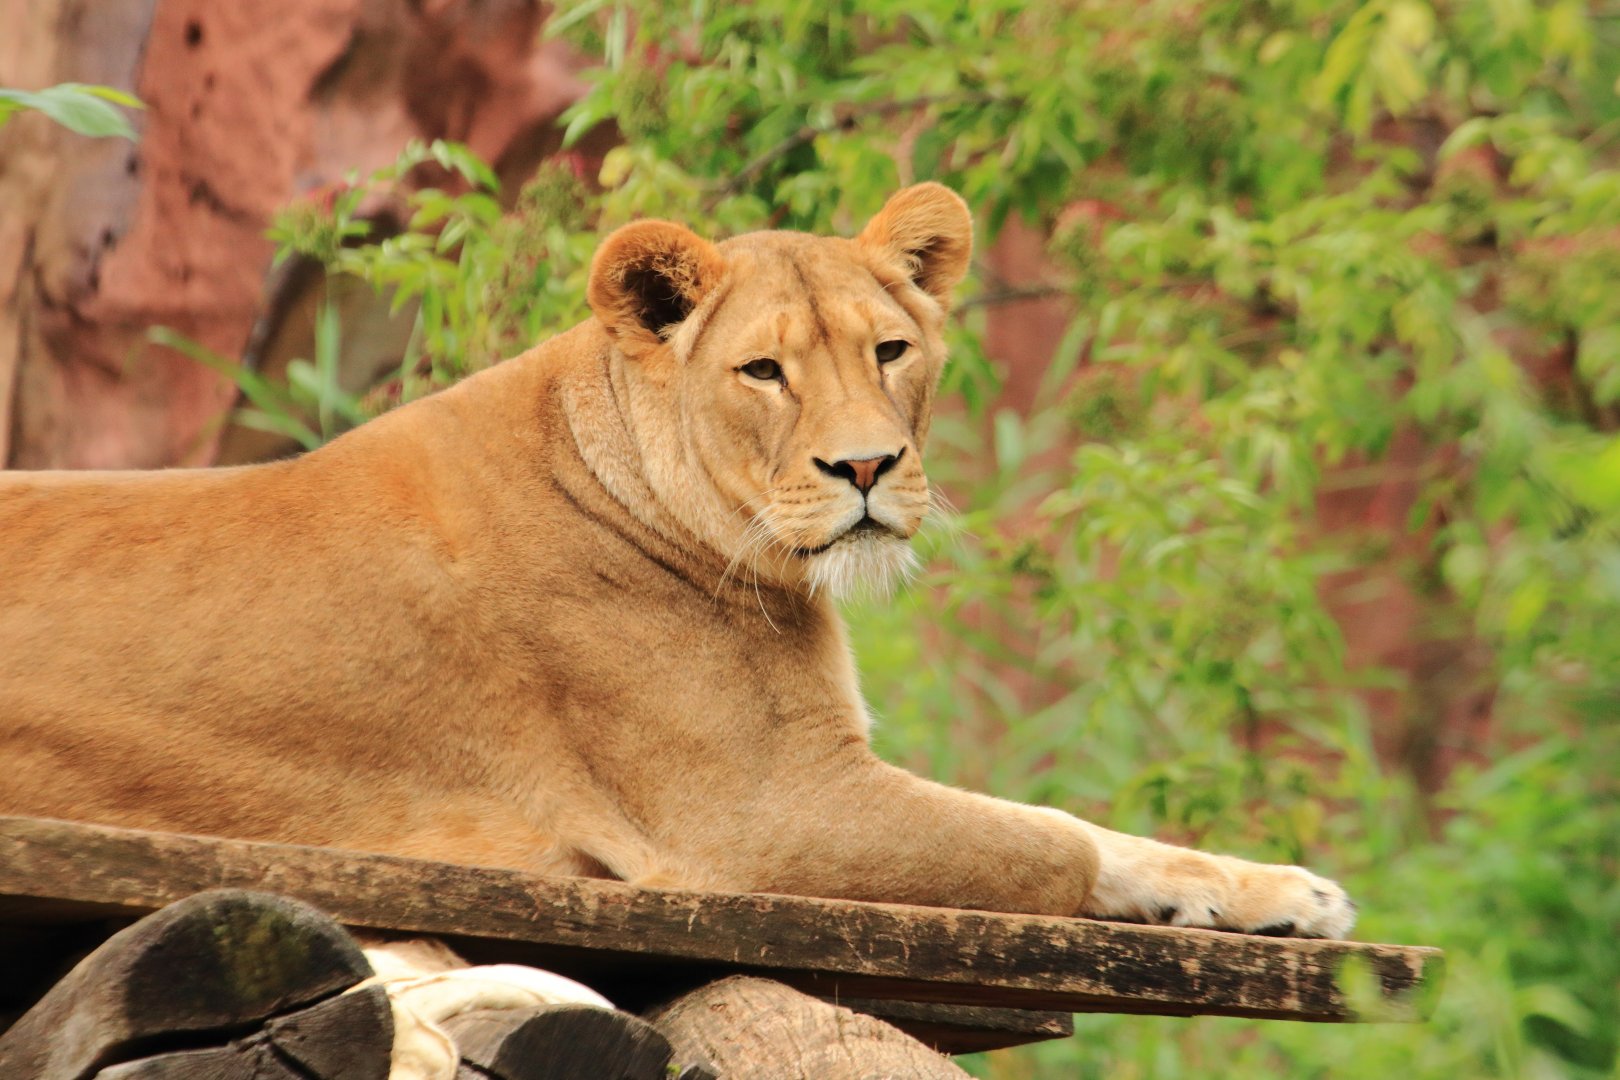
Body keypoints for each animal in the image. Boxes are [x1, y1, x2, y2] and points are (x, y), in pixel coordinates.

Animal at [0, 183, 1354, 940]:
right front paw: (1280, 885)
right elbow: (1050, 837)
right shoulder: (755, 819)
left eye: (892, 349)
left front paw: (1255, 890)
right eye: (763, 371)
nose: (868, 467)